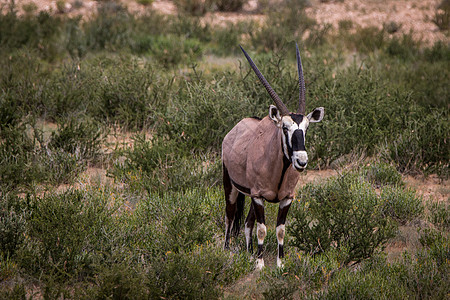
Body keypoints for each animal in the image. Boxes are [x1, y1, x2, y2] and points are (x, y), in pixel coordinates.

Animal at [221, 44, 324, 270]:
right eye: (285, 127)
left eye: (306, 128)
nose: (301, 161)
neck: (279, 168)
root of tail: (235, 129)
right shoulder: (259, 197)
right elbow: (262, 229)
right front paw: (260, 265)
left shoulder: (286, 198)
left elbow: (279, 230)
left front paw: (280, 264)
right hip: (231, 187)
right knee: (230, 217)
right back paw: (226, 252)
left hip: (250, 196)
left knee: (247, 223)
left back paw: (249, 253)